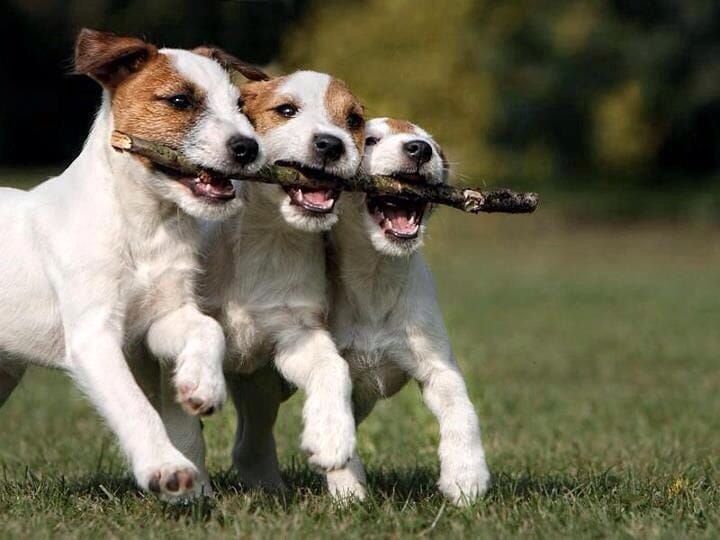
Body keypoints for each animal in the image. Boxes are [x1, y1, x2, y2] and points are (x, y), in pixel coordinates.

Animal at [0, 29, 264, 500]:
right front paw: (165, 467)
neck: (145, 226)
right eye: (179, 101)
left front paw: (200, 384)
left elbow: (208, 328)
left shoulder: (158, 322)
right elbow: (132, 404)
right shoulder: (94, 337)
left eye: (239, 104)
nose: (248, 148)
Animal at [324, 117, 492, 502]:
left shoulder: (438, 369)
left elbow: (462, 411)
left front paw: (466, 477)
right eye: (370, 140)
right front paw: (347, 488)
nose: (419, 149)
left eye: (431, 143)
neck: (376, 275)